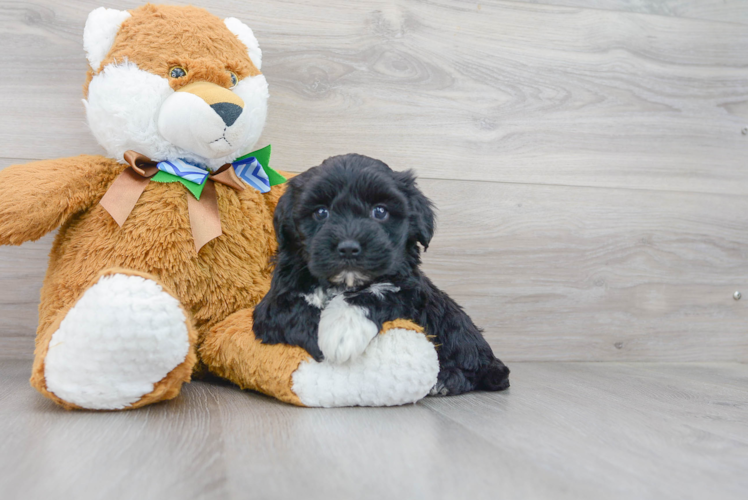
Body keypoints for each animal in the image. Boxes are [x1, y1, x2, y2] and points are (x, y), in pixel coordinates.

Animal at [256, 152, 508, 394]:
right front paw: (320, 342)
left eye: (380, 211)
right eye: (321, 213)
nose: (349, 247)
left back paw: (447, 379)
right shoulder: (273, 303)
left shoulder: (411, 290)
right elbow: (292, 310)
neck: (345, 283)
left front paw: (341, 333)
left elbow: (378, 293)